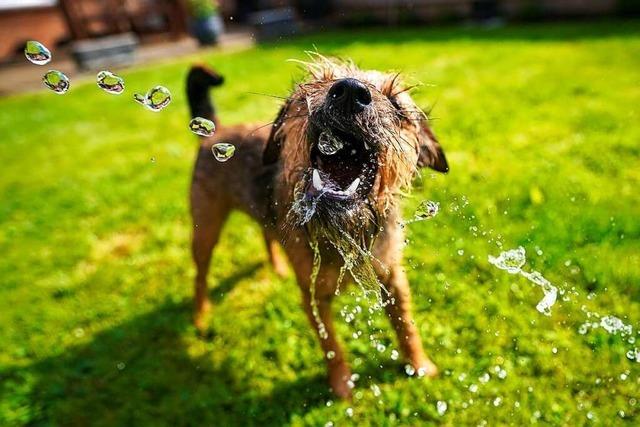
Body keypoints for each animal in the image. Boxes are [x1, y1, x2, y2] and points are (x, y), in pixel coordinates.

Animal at [188, 56, 448, 398]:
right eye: (312, 87)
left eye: (397, 105)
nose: (350, 90)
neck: (346, 230)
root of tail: (214, 130)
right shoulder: (313, 297)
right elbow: (331, 345)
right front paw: (342, 386)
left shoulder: (392, 277)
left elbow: (406, 325)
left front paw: (419, 364)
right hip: (205, 229)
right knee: (200, 275)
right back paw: (201, 316)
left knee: (266, 235)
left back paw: (277, 268)